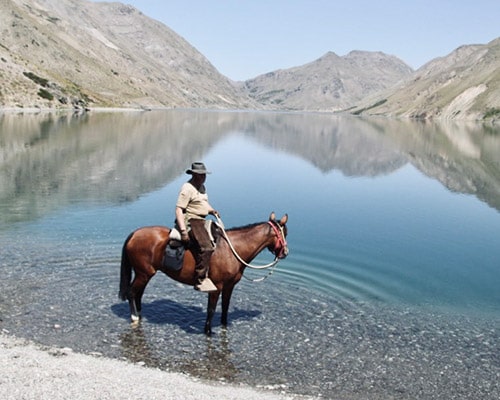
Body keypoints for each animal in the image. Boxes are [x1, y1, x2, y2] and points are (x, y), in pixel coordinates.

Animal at [118, 212, 288, 334]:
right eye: (284, 233)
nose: (285, 252)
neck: (232, 250)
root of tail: (134, 234)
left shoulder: (229, 286)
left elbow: (225, 306)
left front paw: (224, 326)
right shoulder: (216, 286)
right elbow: (211, 310)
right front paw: (208, 331)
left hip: (145, 274)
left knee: (138, 293)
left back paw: (140, 314)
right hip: (143, 273)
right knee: (132, 292)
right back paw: (134, 317)